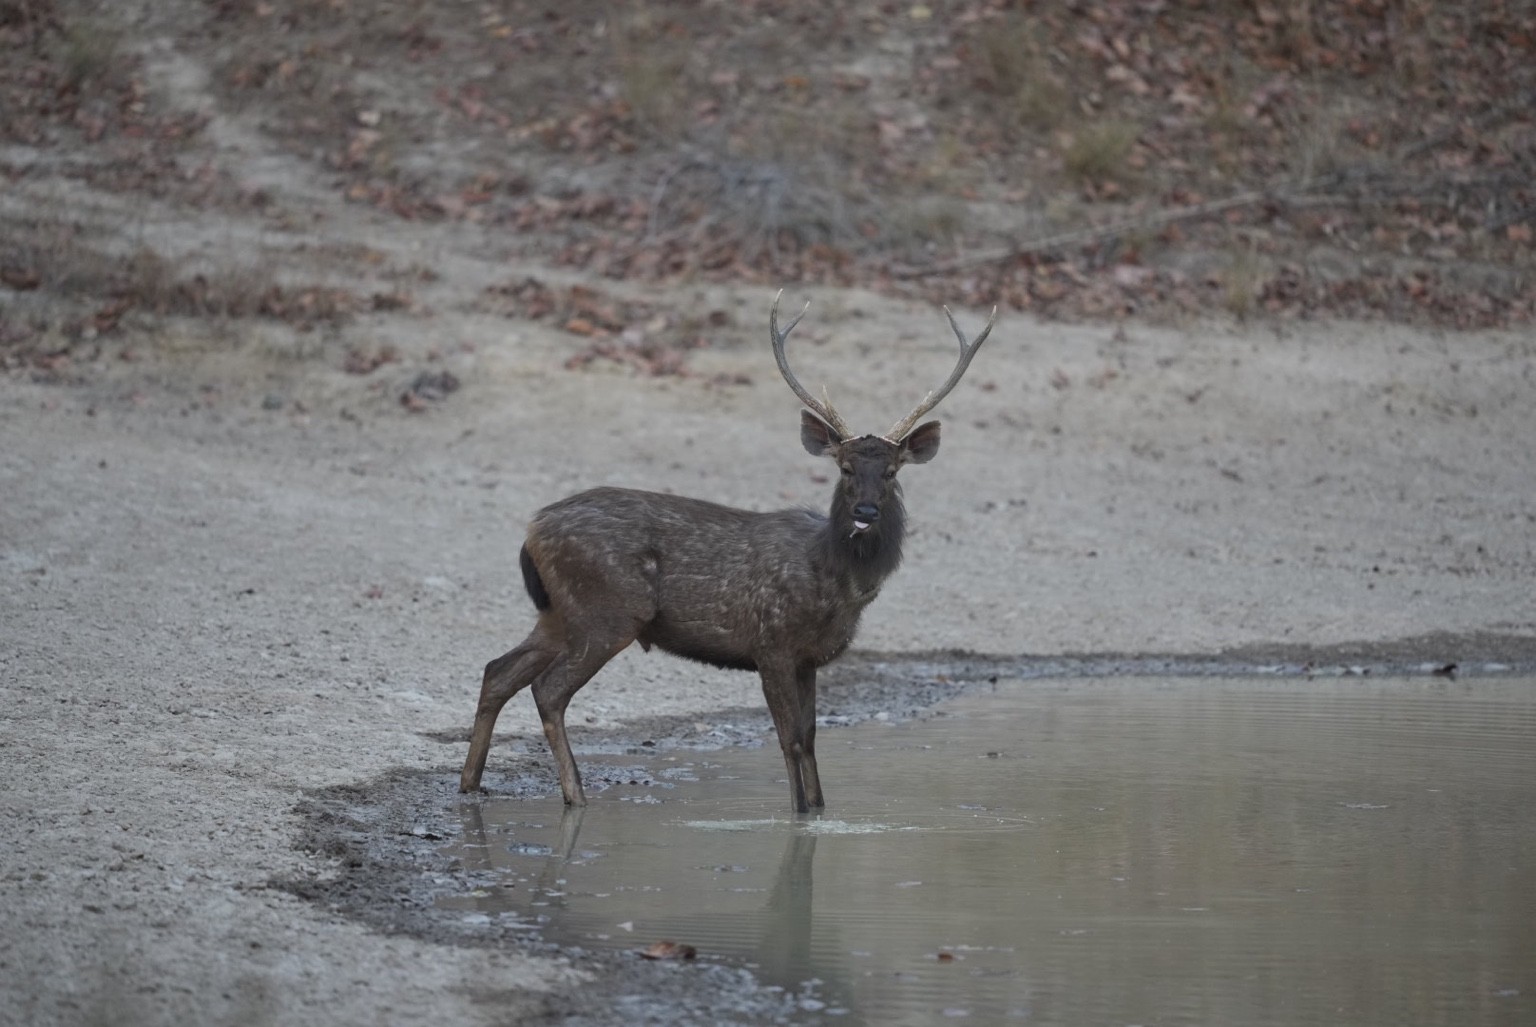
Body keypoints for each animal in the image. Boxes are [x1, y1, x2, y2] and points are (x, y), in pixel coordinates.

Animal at [459, 291, 996, 813]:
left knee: (498, 670)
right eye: (844, 468)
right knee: (547, 690)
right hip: (607, 609)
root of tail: (532, 527)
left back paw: (470, 784)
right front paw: (801, 813)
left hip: (558, 611)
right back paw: (576, 795)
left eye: (891, 471)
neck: (834, 584)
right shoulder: (770, 643)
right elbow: (790, 739)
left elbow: (811, 738)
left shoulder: (808, 658)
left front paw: (821, 809)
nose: (865, 511)